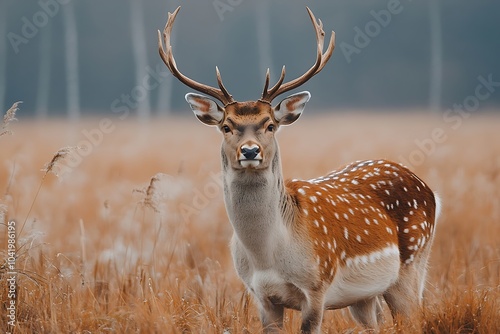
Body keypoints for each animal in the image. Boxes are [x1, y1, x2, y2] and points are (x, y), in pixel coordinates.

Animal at [158, 6, 440, 332]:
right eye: (226, 126)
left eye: (270, 124)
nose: (250, 151)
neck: (268, 257)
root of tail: (428, 189)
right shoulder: (261, 296)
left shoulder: (317, 286)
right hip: (364, 297)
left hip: (413, 263)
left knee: (414, 314)